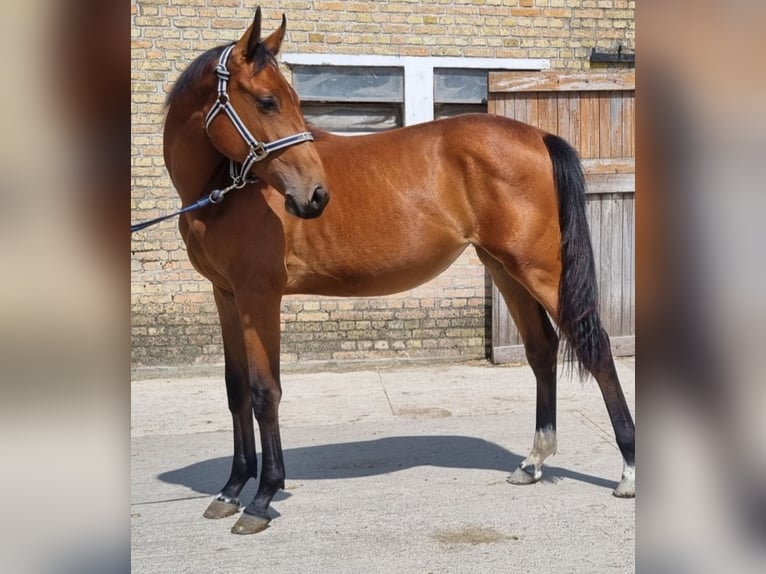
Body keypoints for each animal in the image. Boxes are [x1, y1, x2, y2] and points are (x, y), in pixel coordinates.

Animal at [160, 9, 636, 536]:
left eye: (289, 100)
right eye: (267, 101)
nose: (315, 195)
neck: (224, 190)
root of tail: (538, 136)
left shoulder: (258, 296)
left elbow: (266, 392)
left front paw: (262, 499)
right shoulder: (226, 296)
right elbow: (236, 390)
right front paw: (230, 490)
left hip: (540, 269)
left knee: (596, 348)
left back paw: (627, 473)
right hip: (505, 269)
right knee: (541, 349)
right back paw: (532, 463)